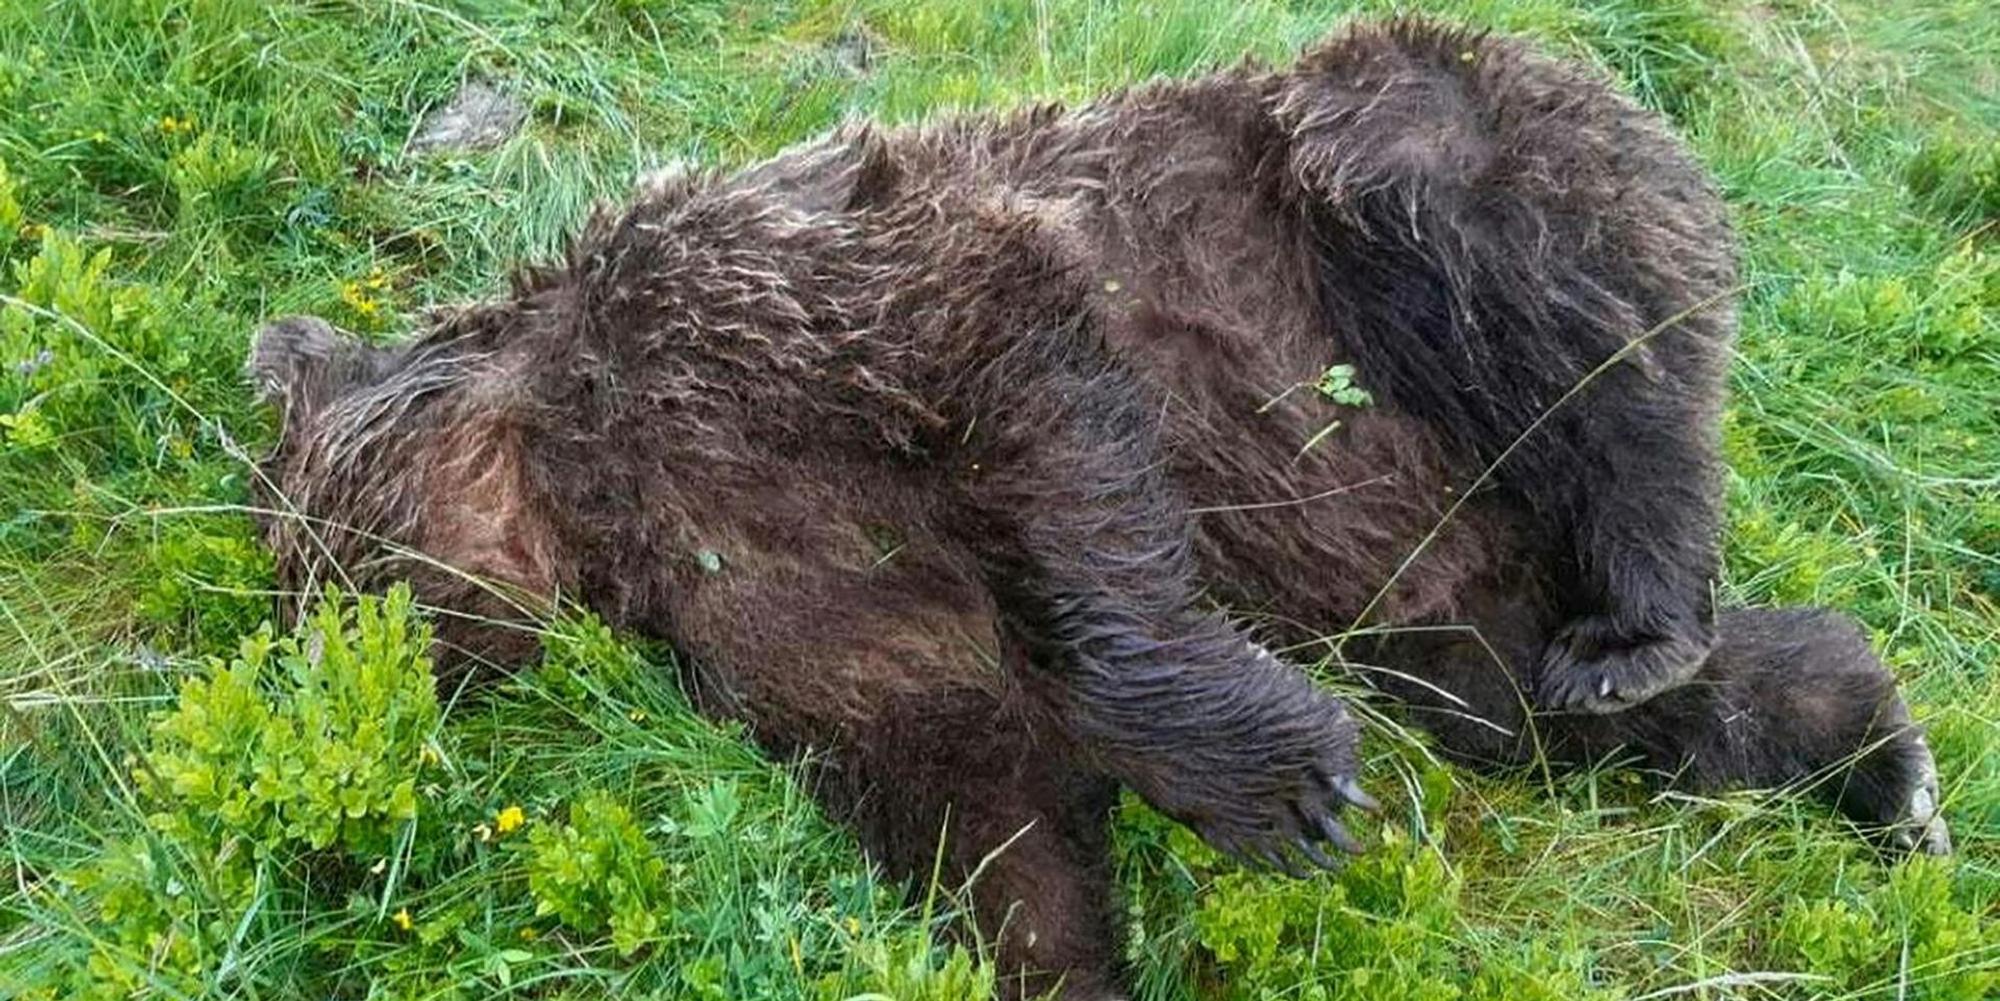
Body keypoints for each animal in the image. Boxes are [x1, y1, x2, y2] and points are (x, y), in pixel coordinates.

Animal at [246, 20, 1950, 1001]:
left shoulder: (800, 299)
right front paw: (1071, 953)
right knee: (1546, 708)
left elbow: (1037, 421)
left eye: (318, 563)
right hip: (1445, 585)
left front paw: (1286, 788)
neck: (593, 479)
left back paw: (1650, 607)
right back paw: (1864, 753)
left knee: (1554, 306)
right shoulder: (767, 600)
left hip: (1391, 197)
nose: (328, 663)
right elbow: (967, 789)